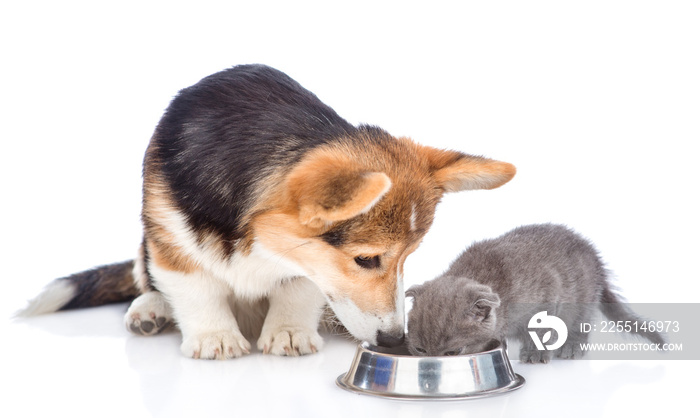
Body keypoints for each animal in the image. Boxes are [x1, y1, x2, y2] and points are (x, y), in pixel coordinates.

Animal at [20, 64, 516, 360]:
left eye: (407, 260)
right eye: (366, 259)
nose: (395, 340)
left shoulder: (307, 263)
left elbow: (297, 288)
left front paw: (290, 332)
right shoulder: (169, 234)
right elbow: (196, 288)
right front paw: (215, 338)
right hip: (145, 242)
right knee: (146, 278)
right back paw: (150, 310)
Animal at [404, 224, 660, 360]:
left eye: (453, 352)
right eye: (420, 349)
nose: (429, 371)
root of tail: (596, 259)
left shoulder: (549, 291)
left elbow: (541, 329)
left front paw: (536, 352)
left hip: (582, 298)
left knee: (581, 324)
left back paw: (572, 347)